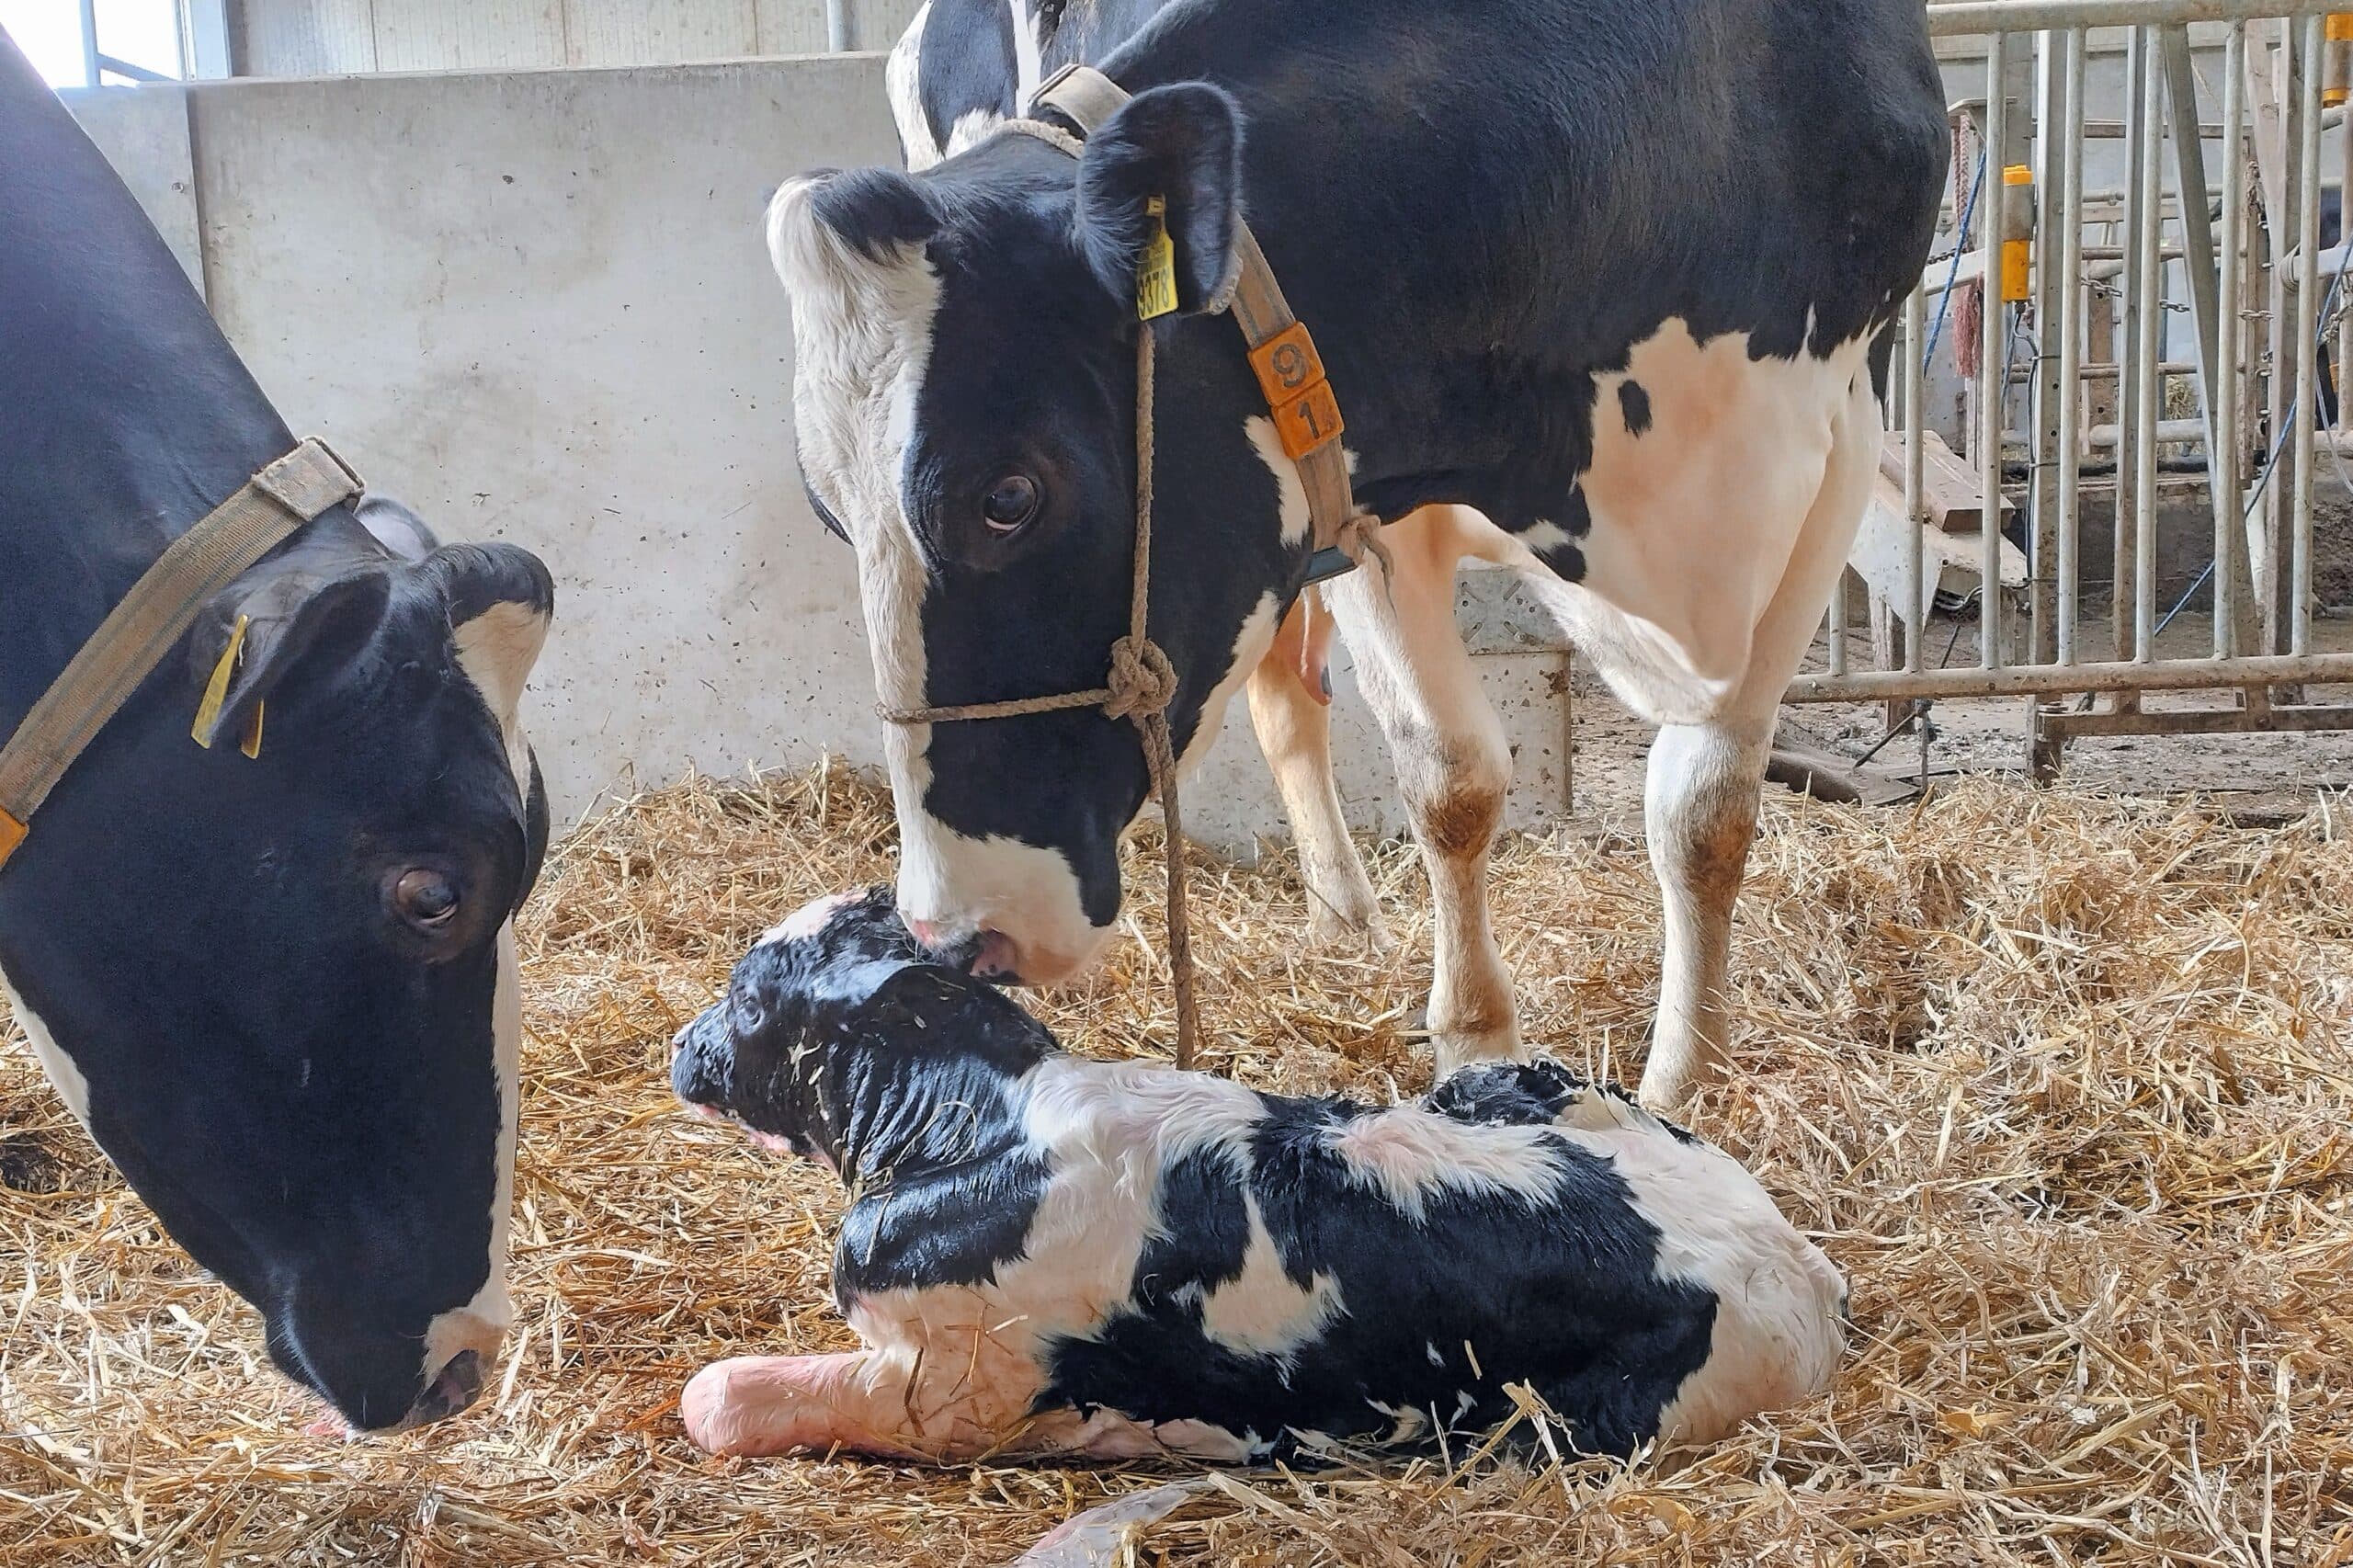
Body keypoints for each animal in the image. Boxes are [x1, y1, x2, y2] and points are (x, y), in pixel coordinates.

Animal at [671, 889, 1847, 1462]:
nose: (681, 1045)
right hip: (1509, 1080)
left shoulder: (949, 1383)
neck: (977, 1124)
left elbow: (716, 1394)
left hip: (1567, 1426)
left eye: (746, 993)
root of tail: (1797, 1259)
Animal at [769, 0, 1947, 1109]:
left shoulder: (1837, 446)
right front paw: (1479, 1041)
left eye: (1008, 496)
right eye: (829, 515)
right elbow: (1450, 779)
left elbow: (1706, 812)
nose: (956, 932)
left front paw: (1684, 1079)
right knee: (1288, 700)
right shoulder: (1348, 463)